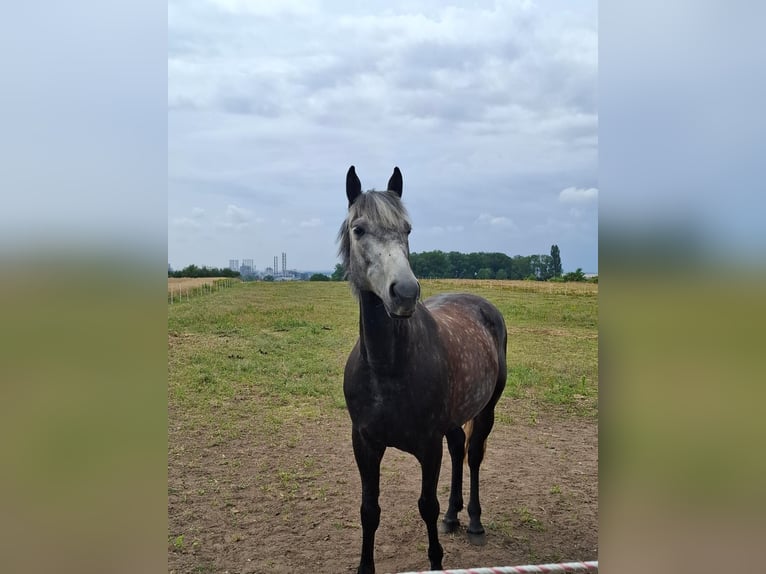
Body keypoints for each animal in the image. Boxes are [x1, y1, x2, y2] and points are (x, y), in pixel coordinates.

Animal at [338, 166, 508, 573]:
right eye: (358, 229)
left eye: (408, 229)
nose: (404, 293)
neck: (387, 367)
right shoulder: (364, 444)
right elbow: (369, 510)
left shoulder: (428, 446)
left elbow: (426, 506)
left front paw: (436, 560)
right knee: (460, 448)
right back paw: (453, 517)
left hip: (487, 408)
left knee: (474, 455)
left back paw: (473, 522)